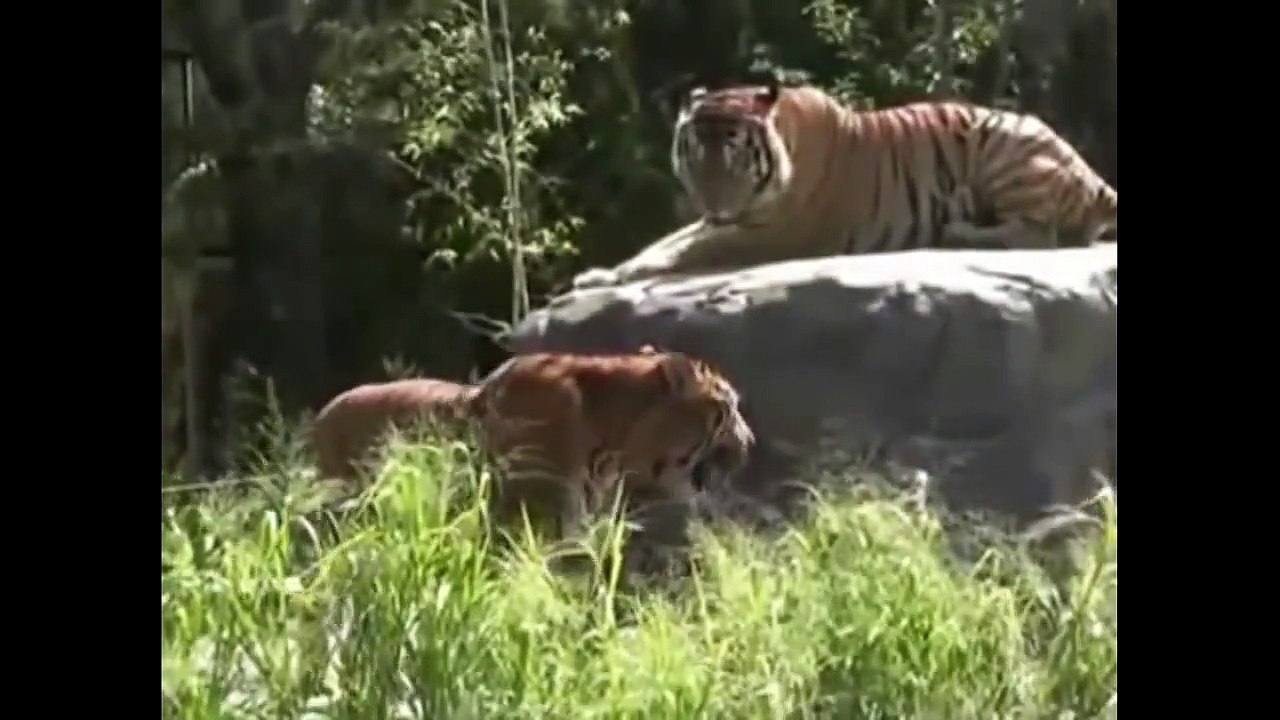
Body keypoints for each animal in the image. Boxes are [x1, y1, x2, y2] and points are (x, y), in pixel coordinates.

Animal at [571, 81, 1117, 290]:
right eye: (695, 155)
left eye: (732, 158)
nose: (712, 203)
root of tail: (1094, 176)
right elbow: (664, 242)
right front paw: (599, 272)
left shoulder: (773, 232)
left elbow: (682, 250)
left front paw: (606, 277)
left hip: (1002, 148)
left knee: (1041, 234)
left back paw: (959, 232)